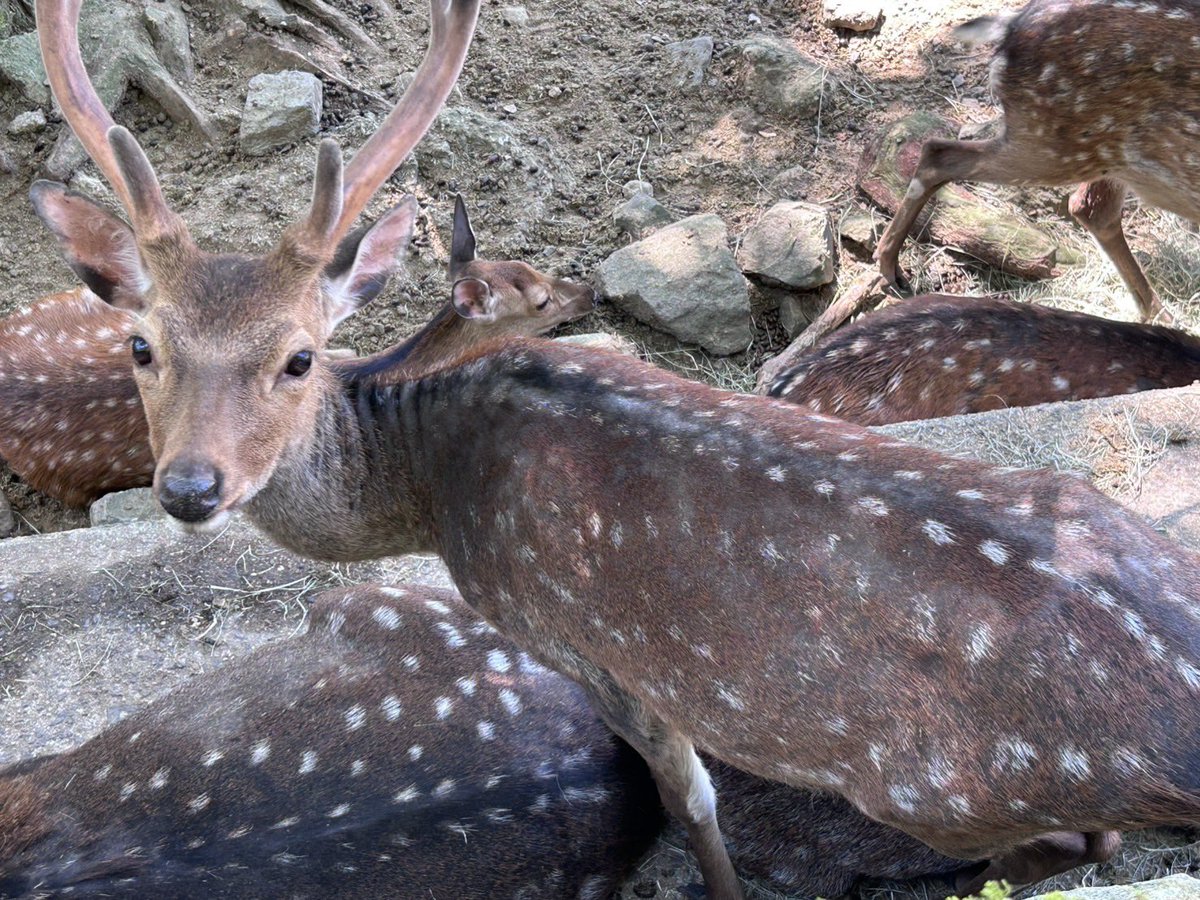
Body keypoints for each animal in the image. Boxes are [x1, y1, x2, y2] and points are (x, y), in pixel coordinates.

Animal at [873, 0, 1200, 324]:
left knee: (1091, 209)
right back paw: (889, 268)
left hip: (1096, 153)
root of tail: (1010, 25)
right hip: (1052, 140)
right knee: (938, 153)